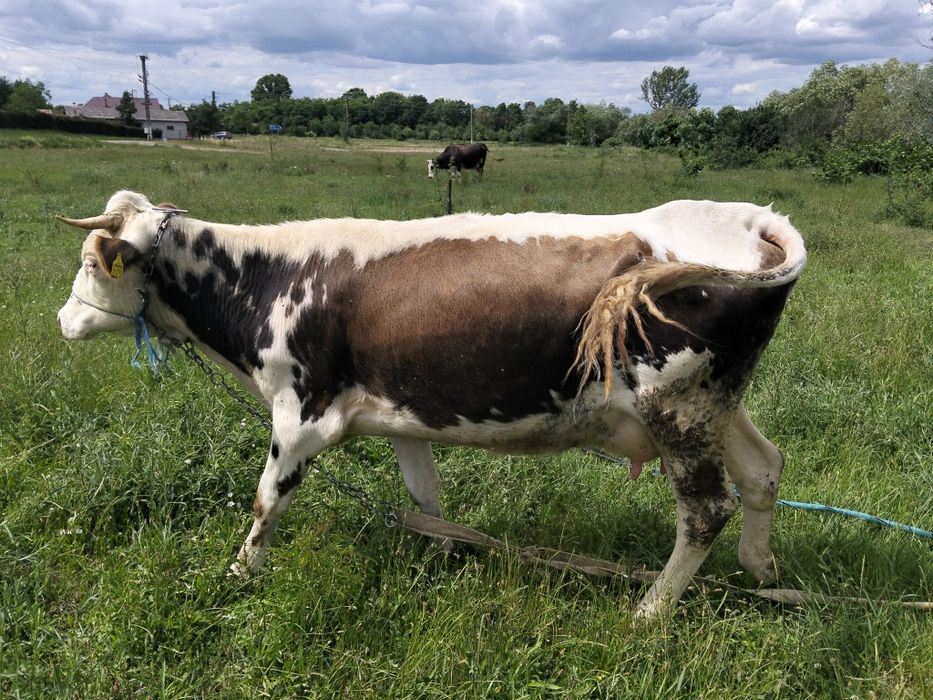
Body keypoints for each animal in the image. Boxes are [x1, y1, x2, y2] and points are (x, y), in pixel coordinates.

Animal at [57, 191, 806, 617]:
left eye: (93, 263)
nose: (63, 321)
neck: (269, 279)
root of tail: (751, 222)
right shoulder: (400, 414)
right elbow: (427, 497)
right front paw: (444, 557)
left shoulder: (301, 413)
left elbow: (266, 501)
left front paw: (240, 573)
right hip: (714, 403)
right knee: (763, 469)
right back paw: (764, 572)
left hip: (674, 406)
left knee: (705, 510)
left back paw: (649, 614)